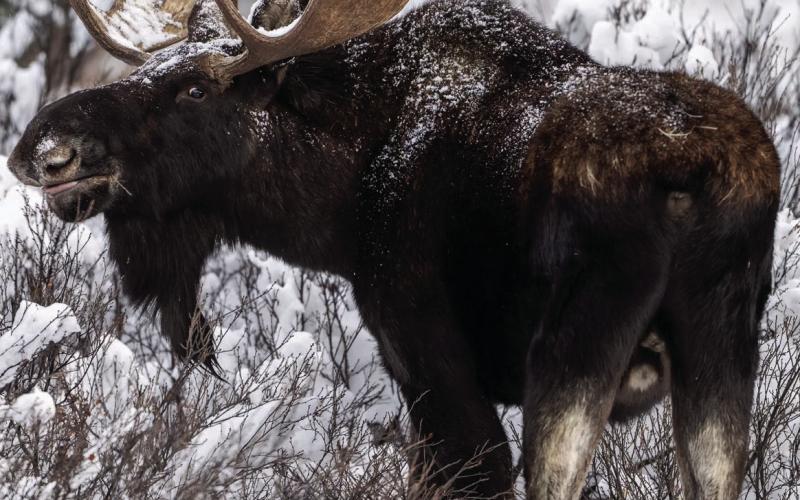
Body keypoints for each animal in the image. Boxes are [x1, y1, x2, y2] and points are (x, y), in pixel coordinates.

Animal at [6, 0, 780, 498]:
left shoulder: (423, 350)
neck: (337, 211)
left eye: (195, 88)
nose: (43, 147)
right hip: (721, 353)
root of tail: (689, 177)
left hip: (573, 353)